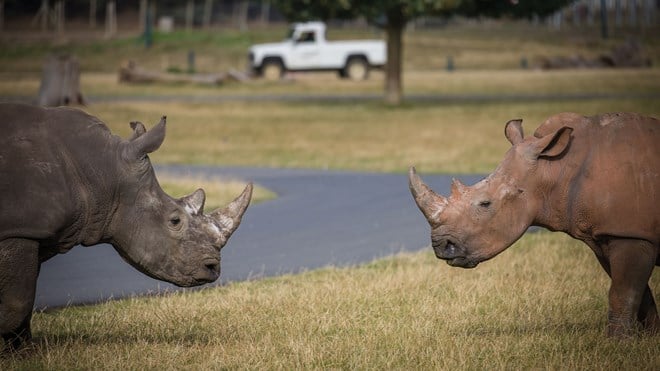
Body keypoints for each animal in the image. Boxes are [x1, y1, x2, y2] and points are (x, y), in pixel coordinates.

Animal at [0, 102, 253, 352]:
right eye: (175, 221)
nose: (213, 268)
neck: (102, 172)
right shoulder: (20, 232)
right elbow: (17, 304)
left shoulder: (34, 233)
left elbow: (22, 304)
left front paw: (23, 353)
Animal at [410, 112, 656, 338]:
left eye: (485, 204)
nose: (440, 246)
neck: (555, 168)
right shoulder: (608, 235)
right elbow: (636, 291)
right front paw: (650, 337)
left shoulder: (629, 234)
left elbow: (623, 292)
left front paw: (617, 342)